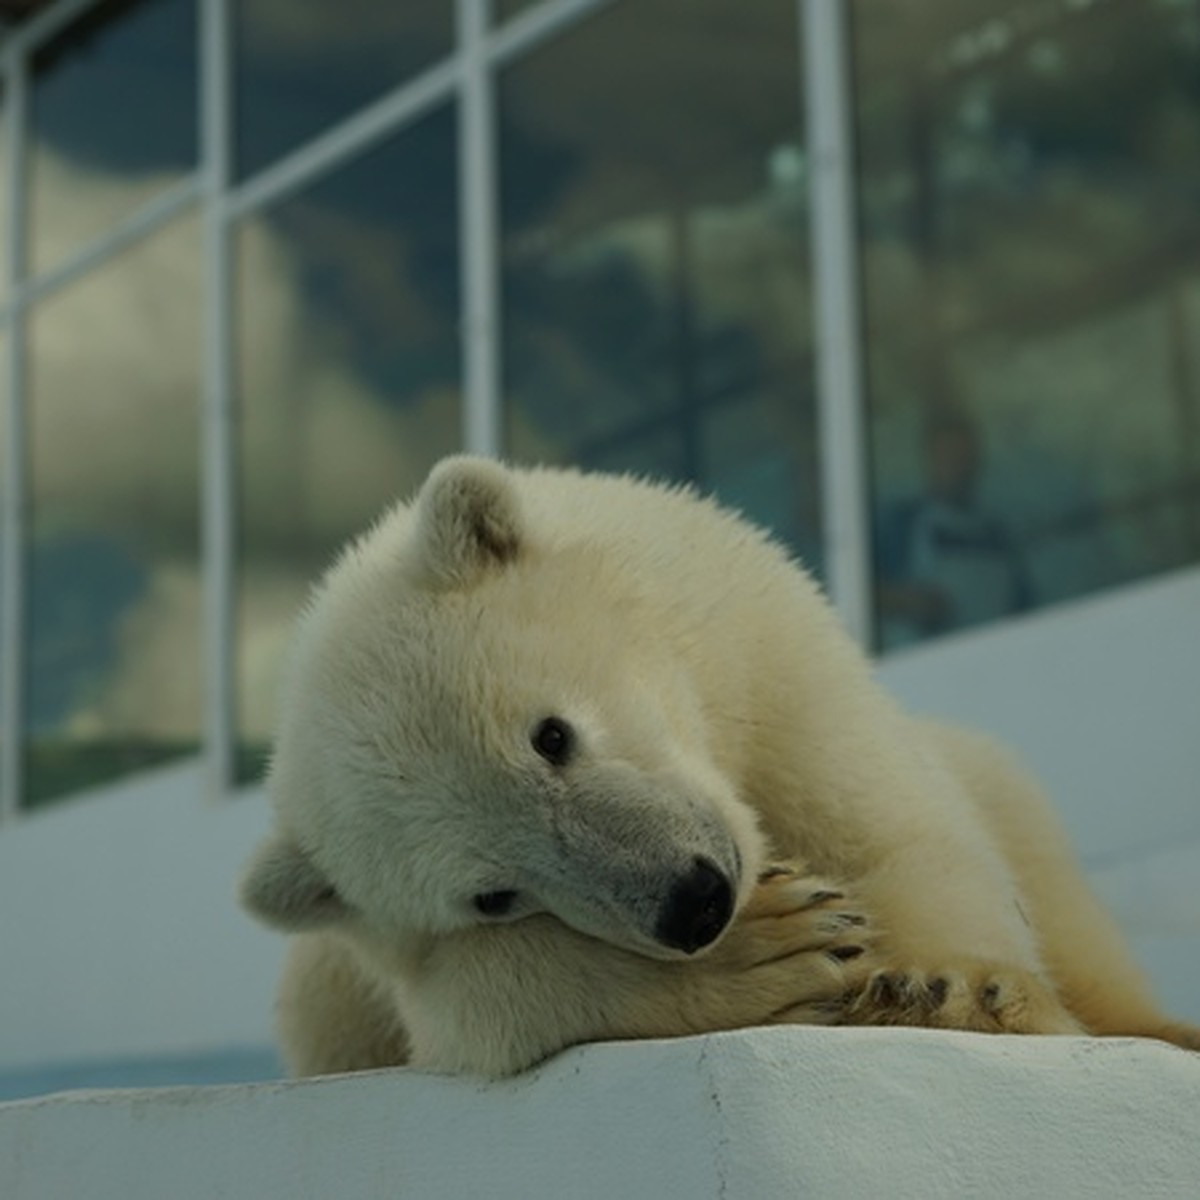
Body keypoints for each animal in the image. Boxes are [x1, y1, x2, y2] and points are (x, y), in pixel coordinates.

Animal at [238, 456, 1195, 1080]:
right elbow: (478, 1002)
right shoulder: (388, 973)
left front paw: (951, 987)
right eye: (494, 896)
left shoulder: (771, 662)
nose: (691, 901)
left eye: (551, 736)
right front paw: (774, 944)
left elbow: (897, 829)